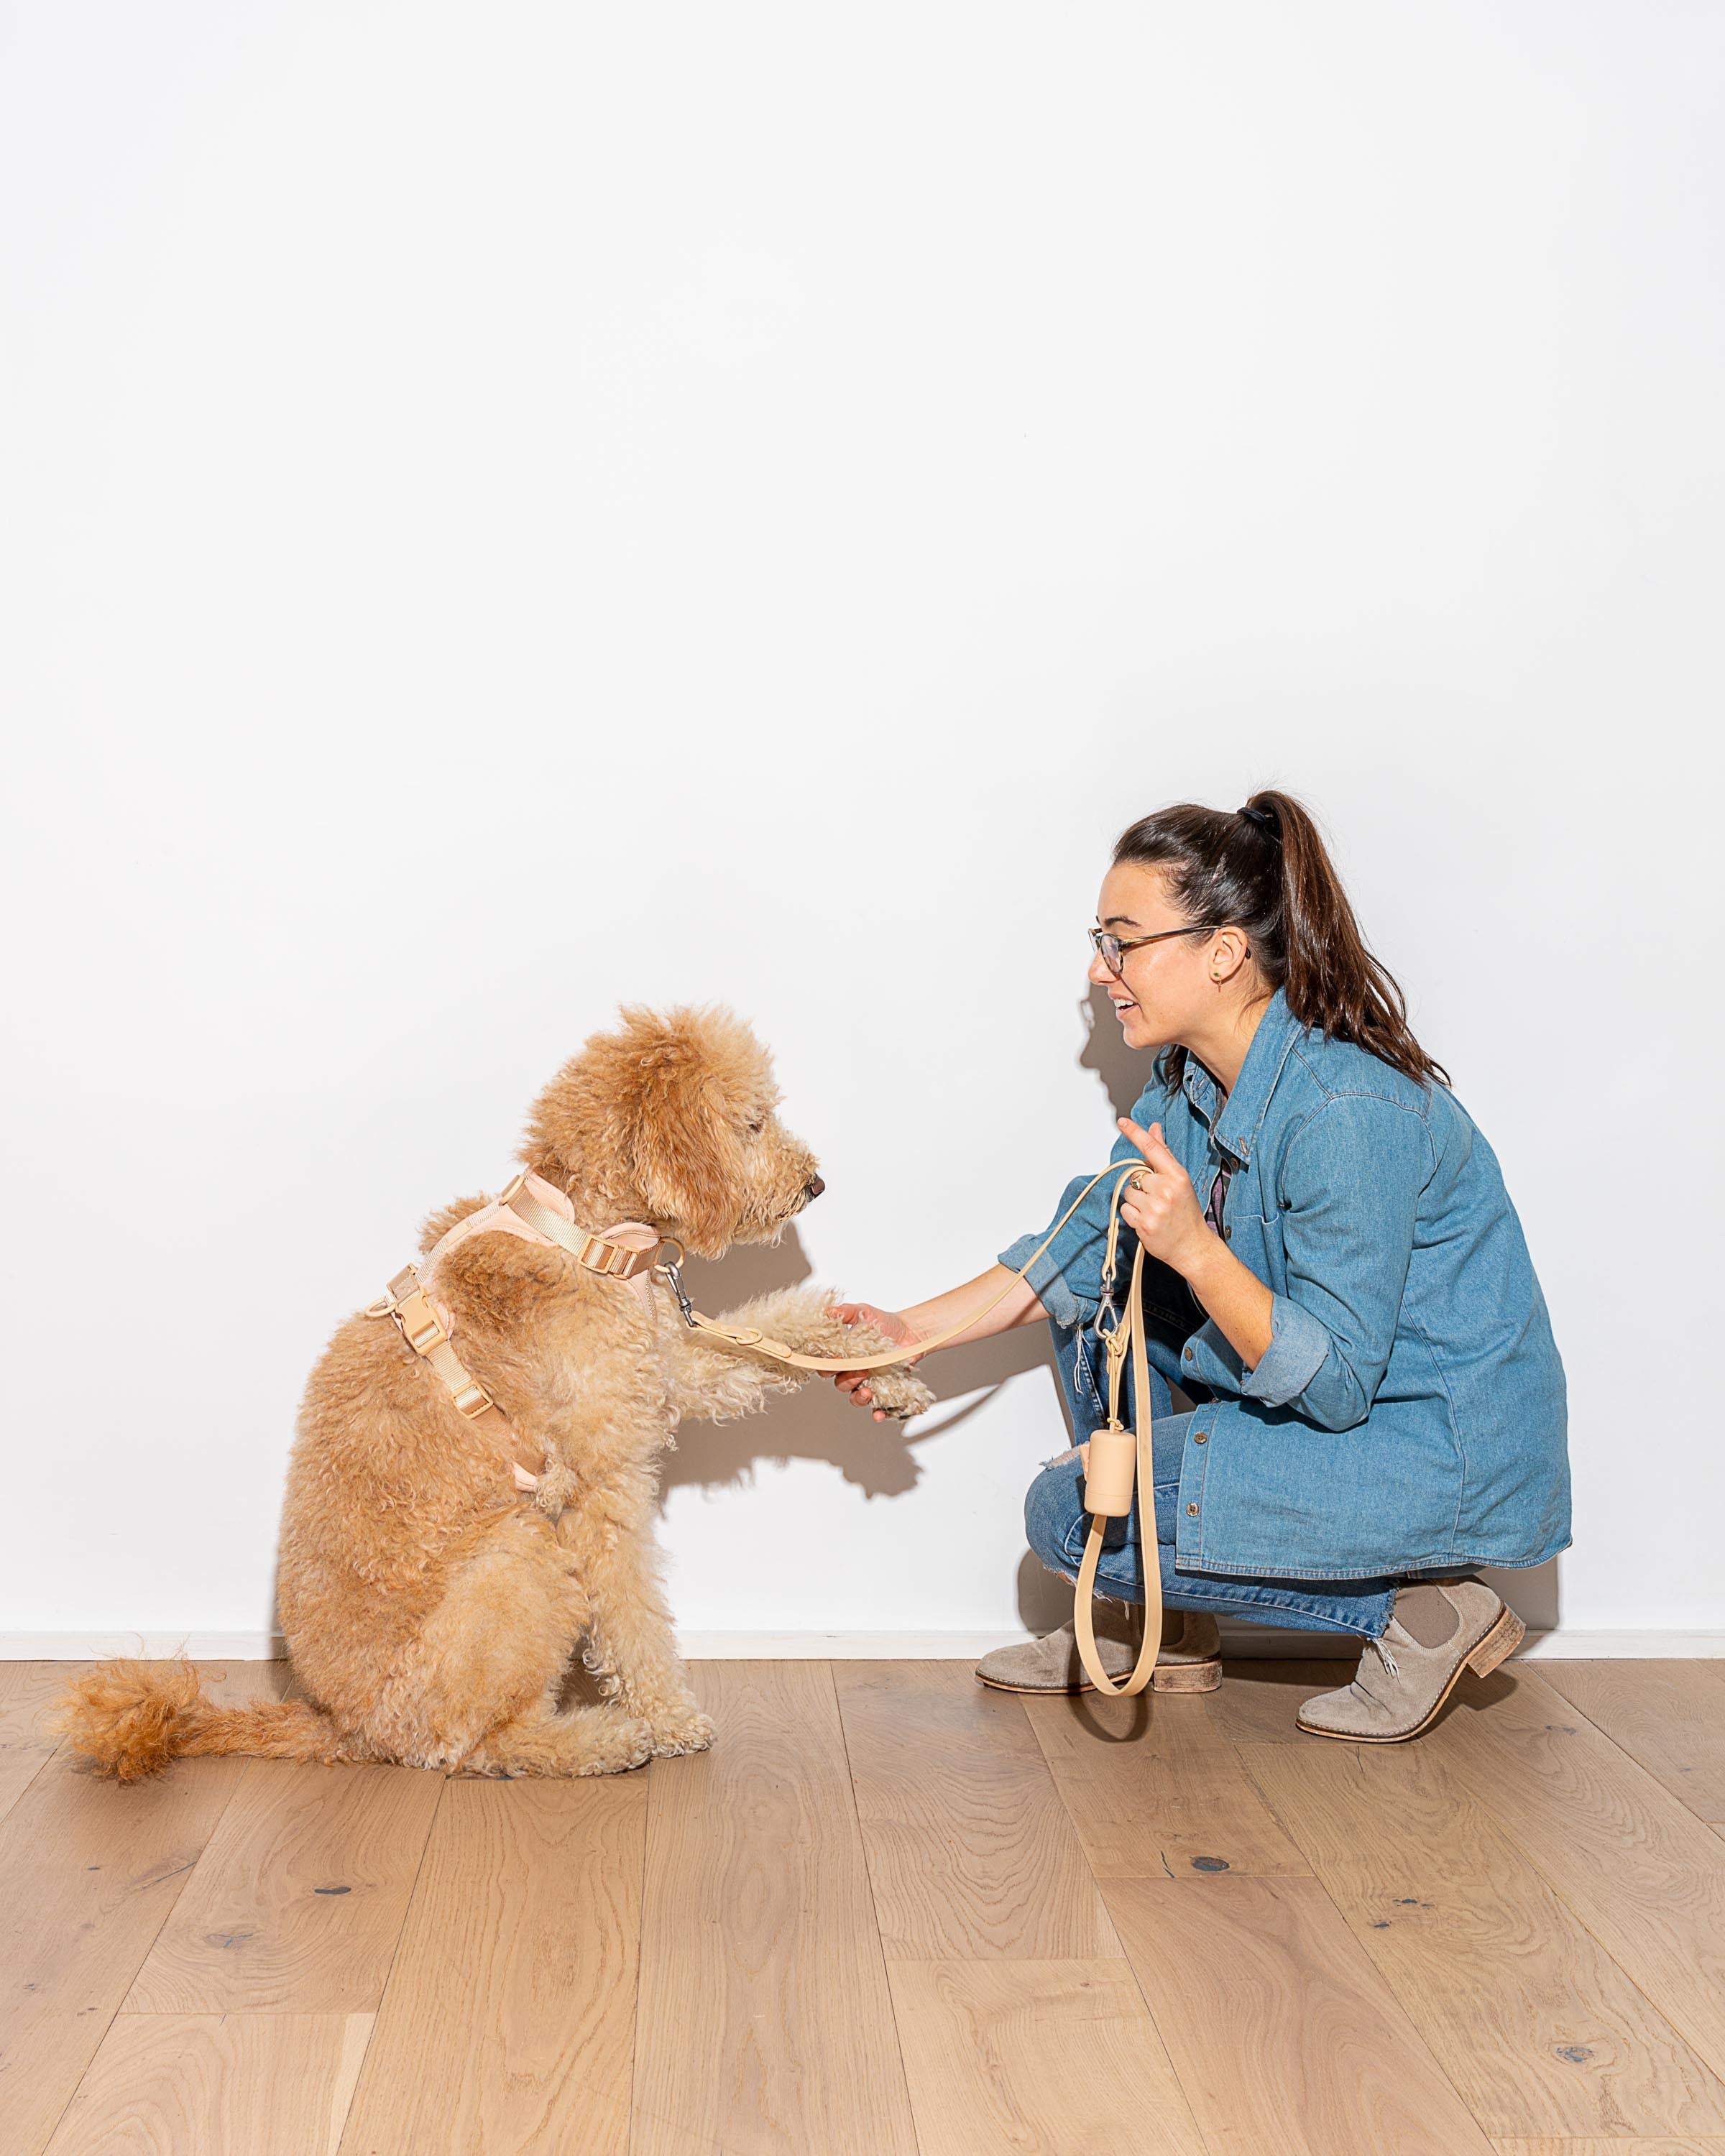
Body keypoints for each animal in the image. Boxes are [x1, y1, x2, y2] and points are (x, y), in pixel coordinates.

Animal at [60, 1009, 932, 1785]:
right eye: (753, 1122)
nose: (816, 1182)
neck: (588, 1237)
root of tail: (340, 1725)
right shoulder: (599, 1489)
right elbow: (635, 1620)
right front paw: (671, 1718)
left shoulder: (665, 1367)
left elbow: (777, 1332)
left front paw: (885, 1366)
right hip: (524, 1556)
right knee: (464, 1747)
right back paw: (600, 1741)